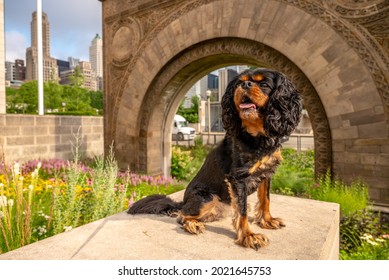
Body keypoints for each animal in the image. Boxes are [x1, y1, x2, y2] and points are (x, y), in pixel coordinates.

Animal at [129, 67, 302, 249]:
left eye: (264, 84)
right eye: (240, 83)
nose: (246, 85)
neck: (257, 135)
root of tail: (184, 201)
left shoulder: (267, 172)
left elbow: (265, 200)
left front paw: (267, 220)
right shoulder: (238, 178)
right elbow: (242, 211)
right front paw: (248, 236)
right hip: (206, 197)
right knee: (182, 215)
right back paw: (193, 224)